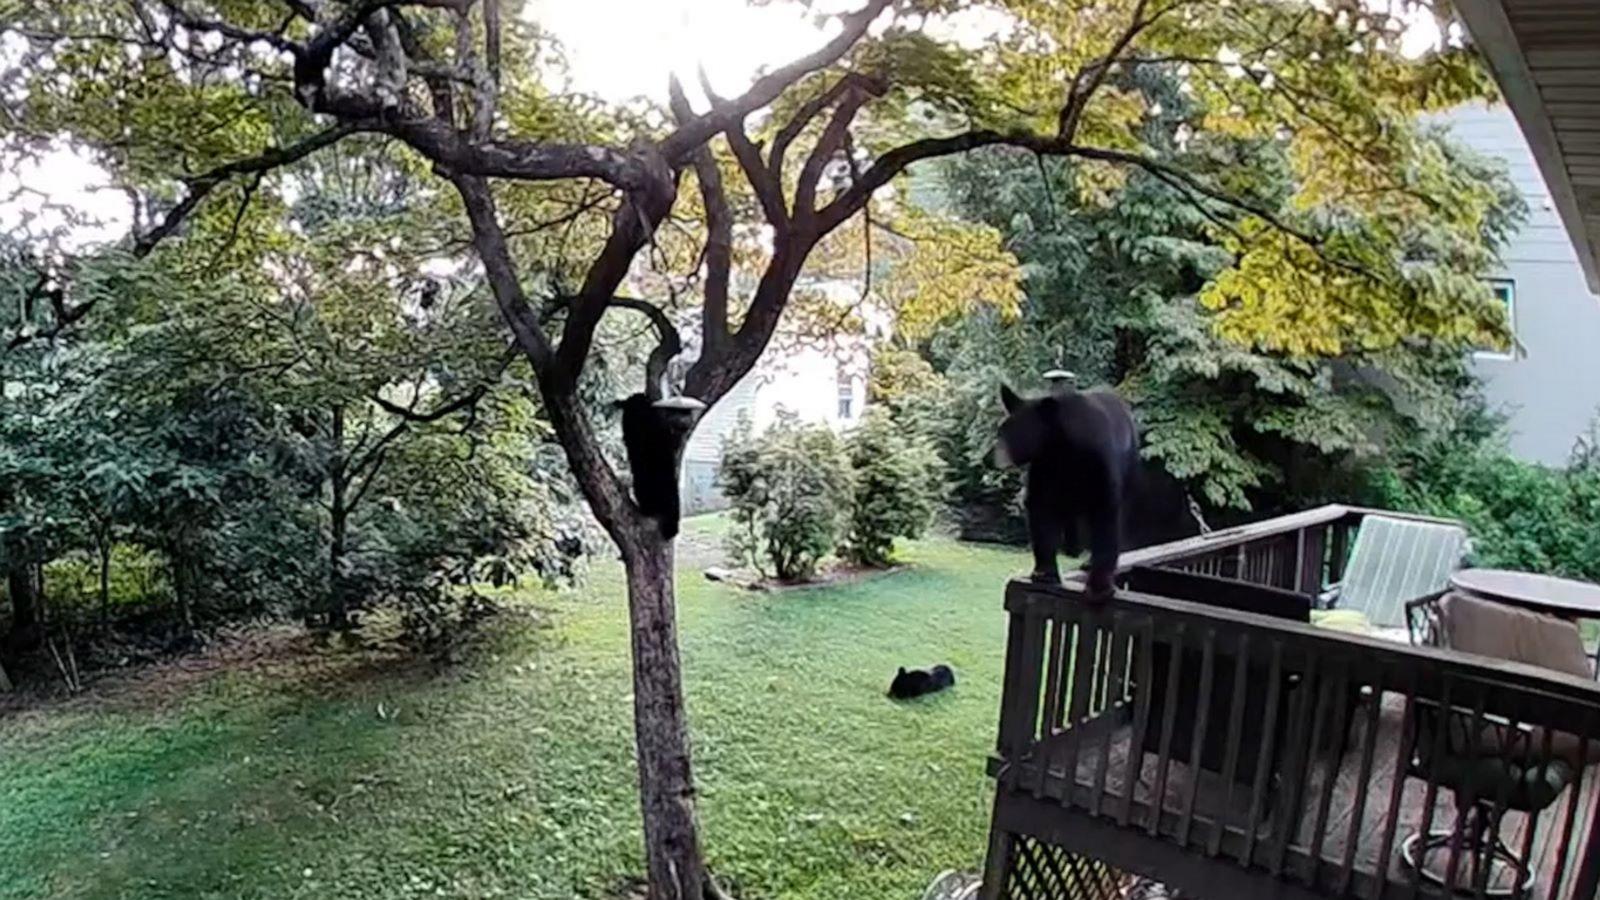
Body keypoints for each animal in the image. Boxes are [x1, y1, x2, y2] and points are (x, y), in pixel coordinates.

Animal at [992, 381, 1145, 598]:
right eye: (1000, 430)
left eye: (1012, 434)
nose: (989, 457)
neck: (1061, 449)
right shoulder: (1043, 469)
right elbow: (1040, 508)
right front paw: (1045, 573)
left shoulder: (1098, 463)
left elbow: (1105, 514)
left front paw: (1100, 586)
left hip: (1129, 469)